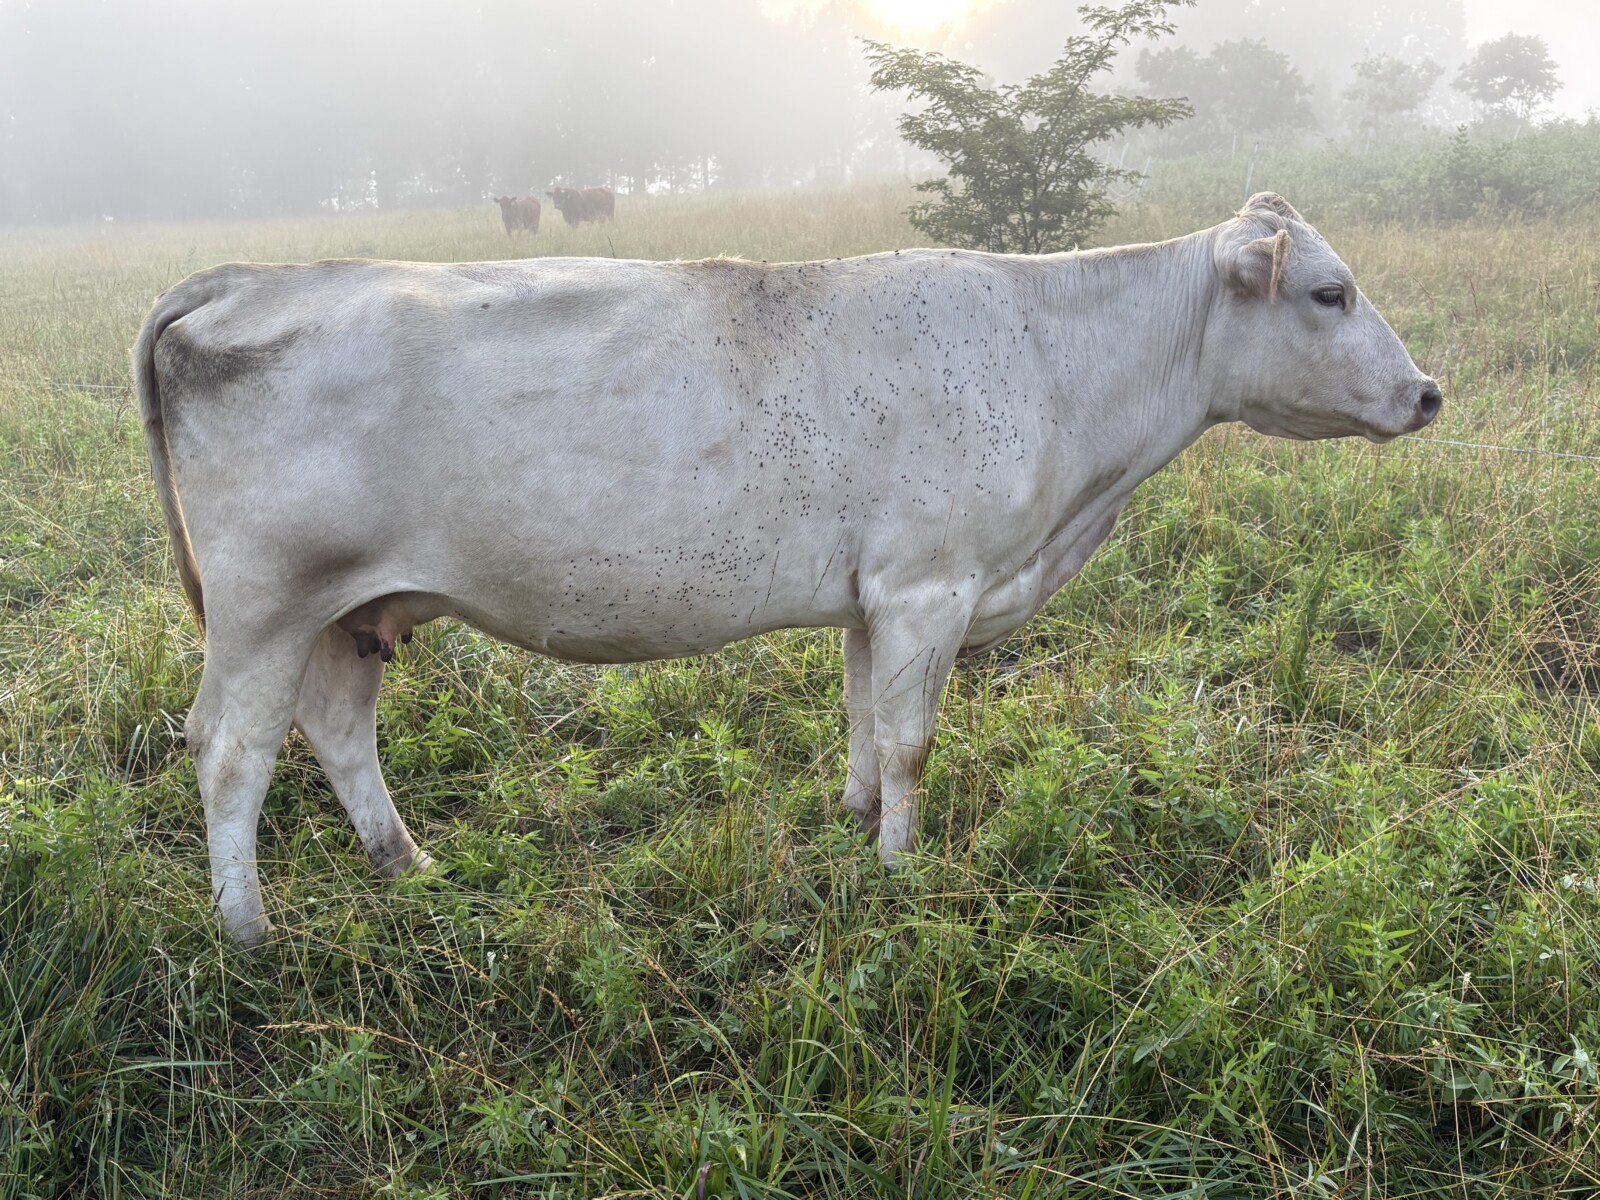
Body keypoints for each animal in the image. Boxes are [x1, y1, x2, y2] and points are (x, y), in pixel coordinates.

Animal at [135, 192, 1440, 946]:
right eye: (1329, 291)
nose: (1427, 393)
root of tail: (248, 276)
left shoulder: (875, 596)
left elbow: (863, 720)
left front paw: (855, 829)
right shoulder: (929, 583)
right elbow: (912, 742)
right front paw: (903, 875)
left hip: (350, 610)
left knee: (335, 729)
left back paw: (409, 866)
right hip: (264, 605)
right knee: (231, 750)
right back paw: (250, 931)